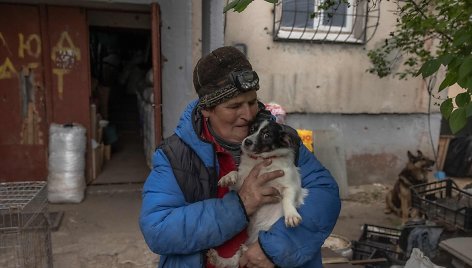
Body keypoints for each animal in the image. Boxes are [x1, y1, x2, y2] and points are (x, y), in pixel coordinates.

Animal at [208, 118, 308, 266]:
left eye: (267, 135)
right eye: (252, 129)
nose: (247, 141)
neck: (261, 160)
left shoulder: (291, 186)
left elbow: (287, 200)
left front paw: (291, 215)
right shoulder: (243, 183)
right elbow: (235, 174)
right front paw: (228, 177)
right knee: (234, 261)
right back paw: (219, 258)